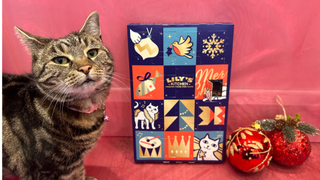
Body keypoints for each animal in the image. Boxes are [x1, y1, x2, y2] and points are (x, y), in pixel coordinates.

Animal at [2, 11, 114, 179]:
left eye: (92, 53)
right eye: (60, 60)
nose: (85, 68)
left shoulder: (75, 163)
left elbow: (79, 171)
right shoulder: (46, 170)